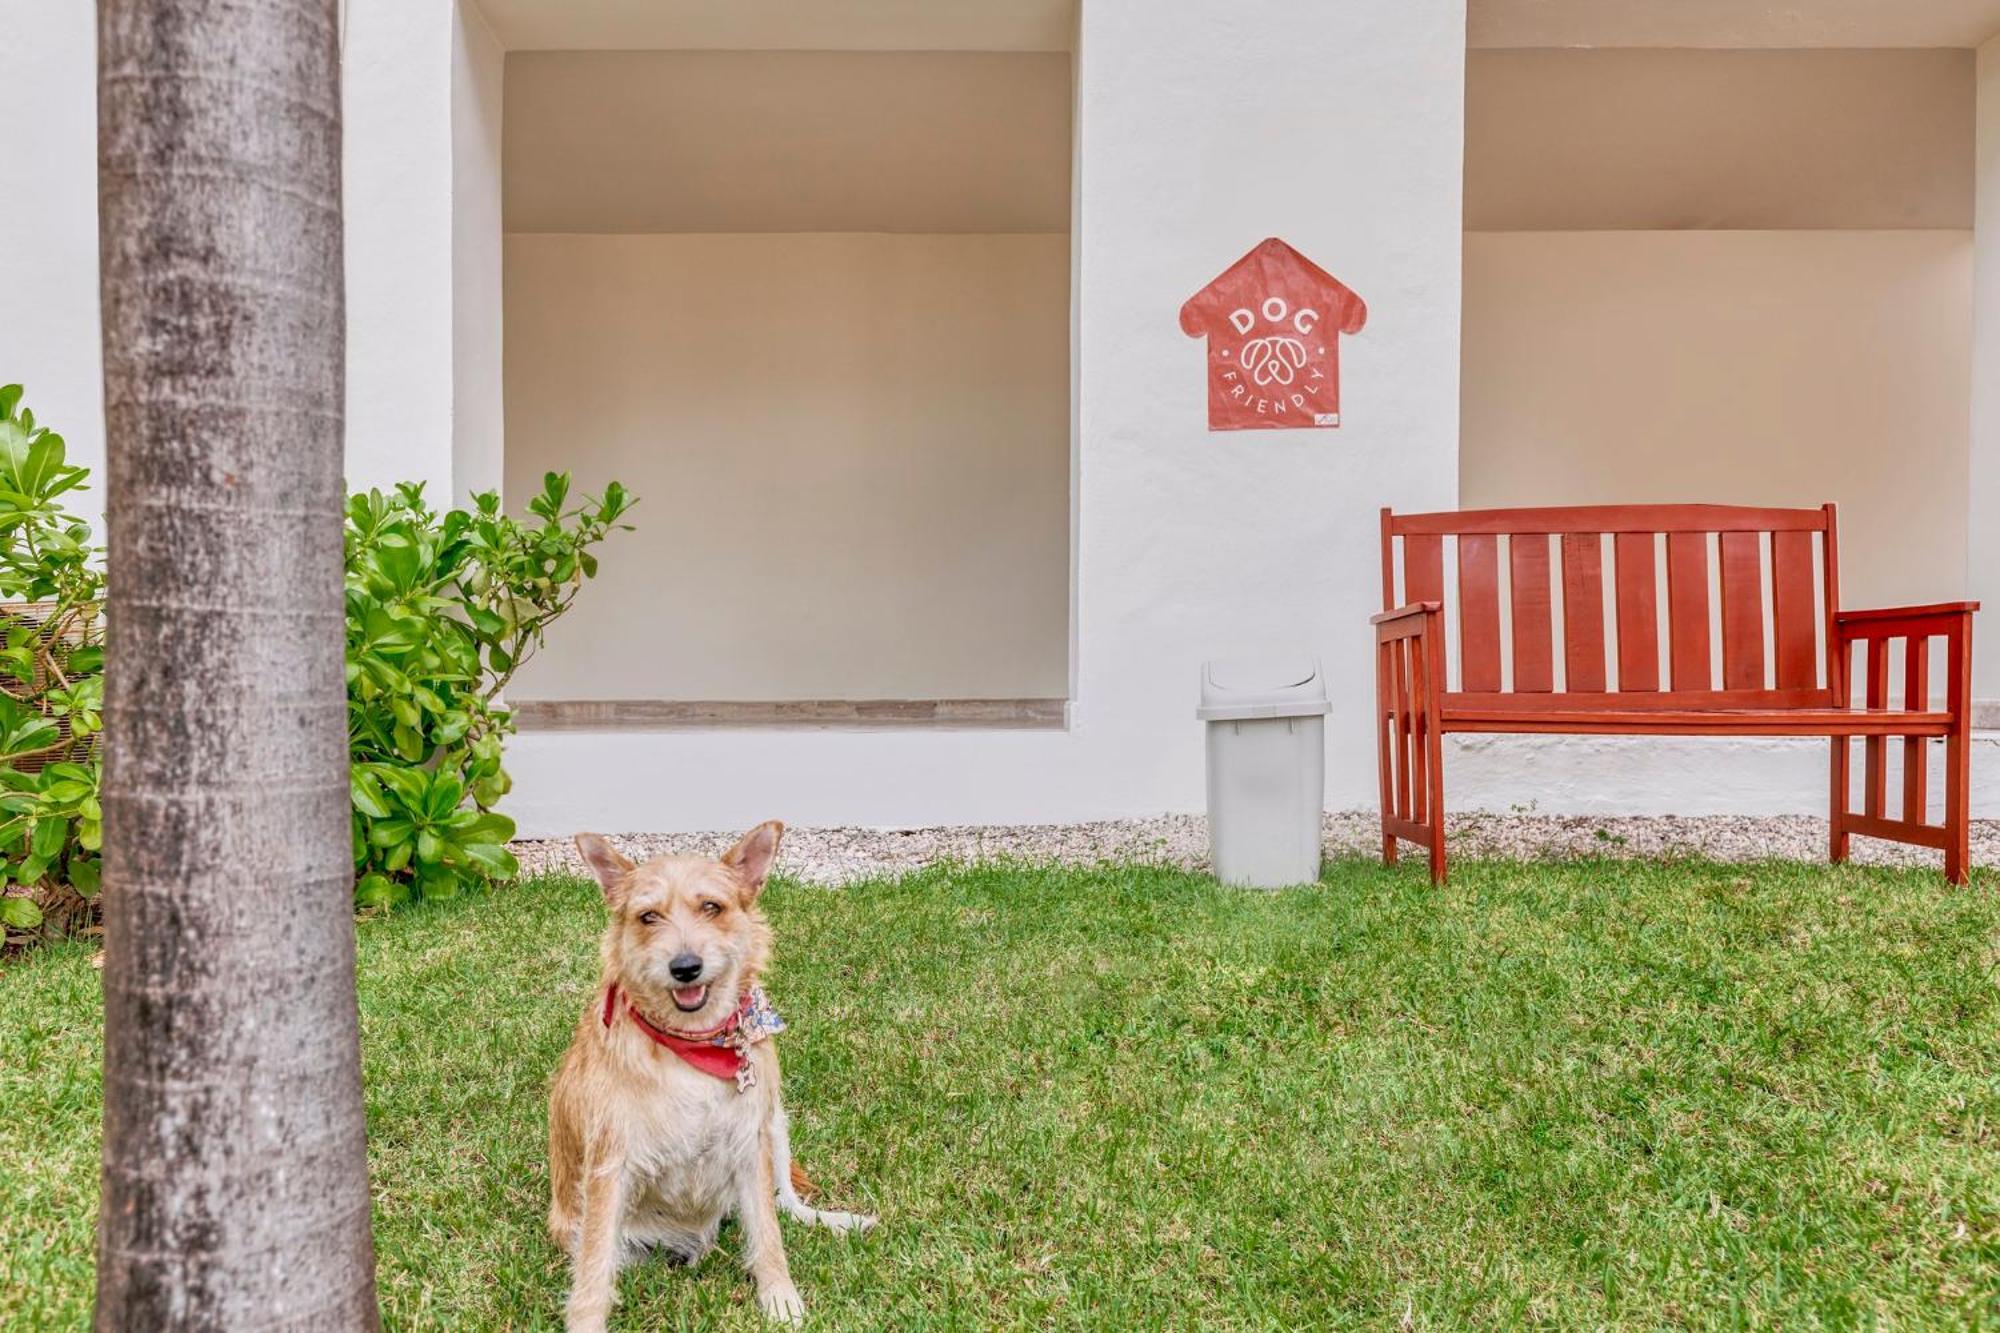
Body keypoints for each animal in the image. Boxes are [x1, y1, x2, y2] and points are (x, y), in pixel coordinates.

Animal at [552, 816, 872, 1320]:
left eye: (711, 907)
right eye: (648, 916)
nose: (685, 966)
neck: (694, 1045)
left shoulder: (750, 1141)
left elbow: (767, 1231)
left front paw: (780, 1298)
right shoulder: (610, 1164)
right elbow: (594, 1267)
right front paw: (586, 1321)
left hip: (777, 1123)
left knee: (787, 1202)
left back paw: (837, 1220)